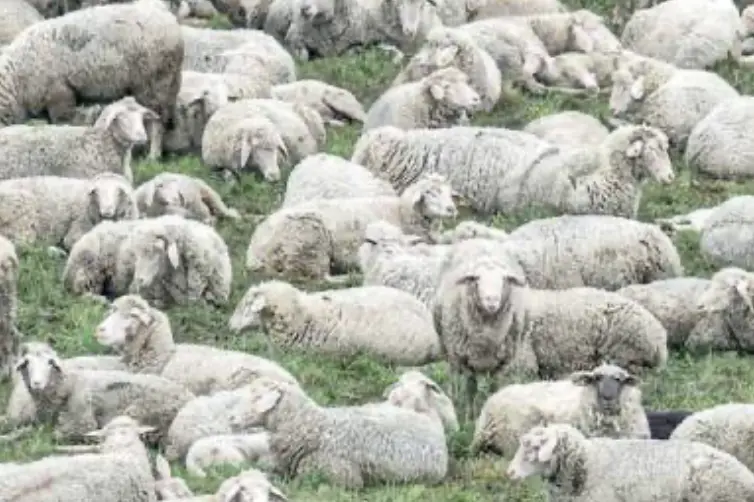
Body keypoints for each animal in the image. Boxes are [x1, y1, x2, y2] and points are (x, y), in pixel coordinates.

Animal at [0, 2, 183, 160]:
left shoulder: (60, 95)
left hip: (156, 82)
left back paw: (153, 155)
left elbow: (63, 122)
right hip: (163, 83)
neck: (16, 83)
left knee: (158, 121)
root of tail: (169, 18)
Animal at [0, 173, 138, 254]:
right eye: (96, 193)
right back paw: (54, 251)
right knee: (22, 245)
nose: (106, 211)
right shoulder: (76, 231)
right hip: (21, 217)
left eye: (119, 192)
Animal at [12, 341, 195, 442]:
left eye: (50, 363)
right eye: (26, 363)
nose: (36, 383)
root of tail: (190, 397)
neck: (68, 384)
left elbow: (57, 433)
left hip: (140, 410)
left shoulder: (83, 420)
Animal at [245, 173, 458, 281]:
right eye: (430, 193)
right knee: (316, 276)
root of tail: (253, 251)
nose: (452, 209)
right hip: (309, 242)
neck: (401, 212)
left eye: (449, 192)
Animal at [433, 254, 668, 418]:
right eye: (476, 280)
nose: (491, 301)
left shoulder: (518, 366)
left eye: (504, 280)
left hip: (625, 357)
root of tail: (659, 336)